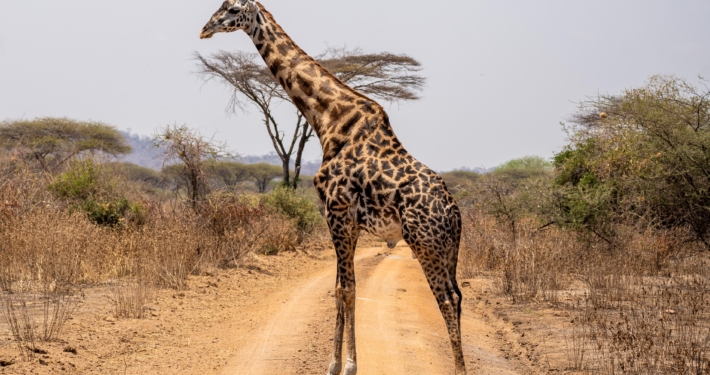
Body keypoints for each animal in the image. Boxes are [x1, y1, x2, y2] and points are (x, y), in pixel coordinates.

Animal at [200, 1, 468, 374]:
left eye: (232, 8)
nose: (205, 29)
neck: (327, 118)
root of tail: (455, 214)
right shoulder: (348, 222)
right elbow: (340, 286)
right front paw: (339, 362)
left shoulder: (337, 212)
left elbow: (347, 290)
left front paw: (344, 365)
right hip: (448, 249)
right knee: (457, 295)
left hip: (426, 243)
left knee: (446, 298)